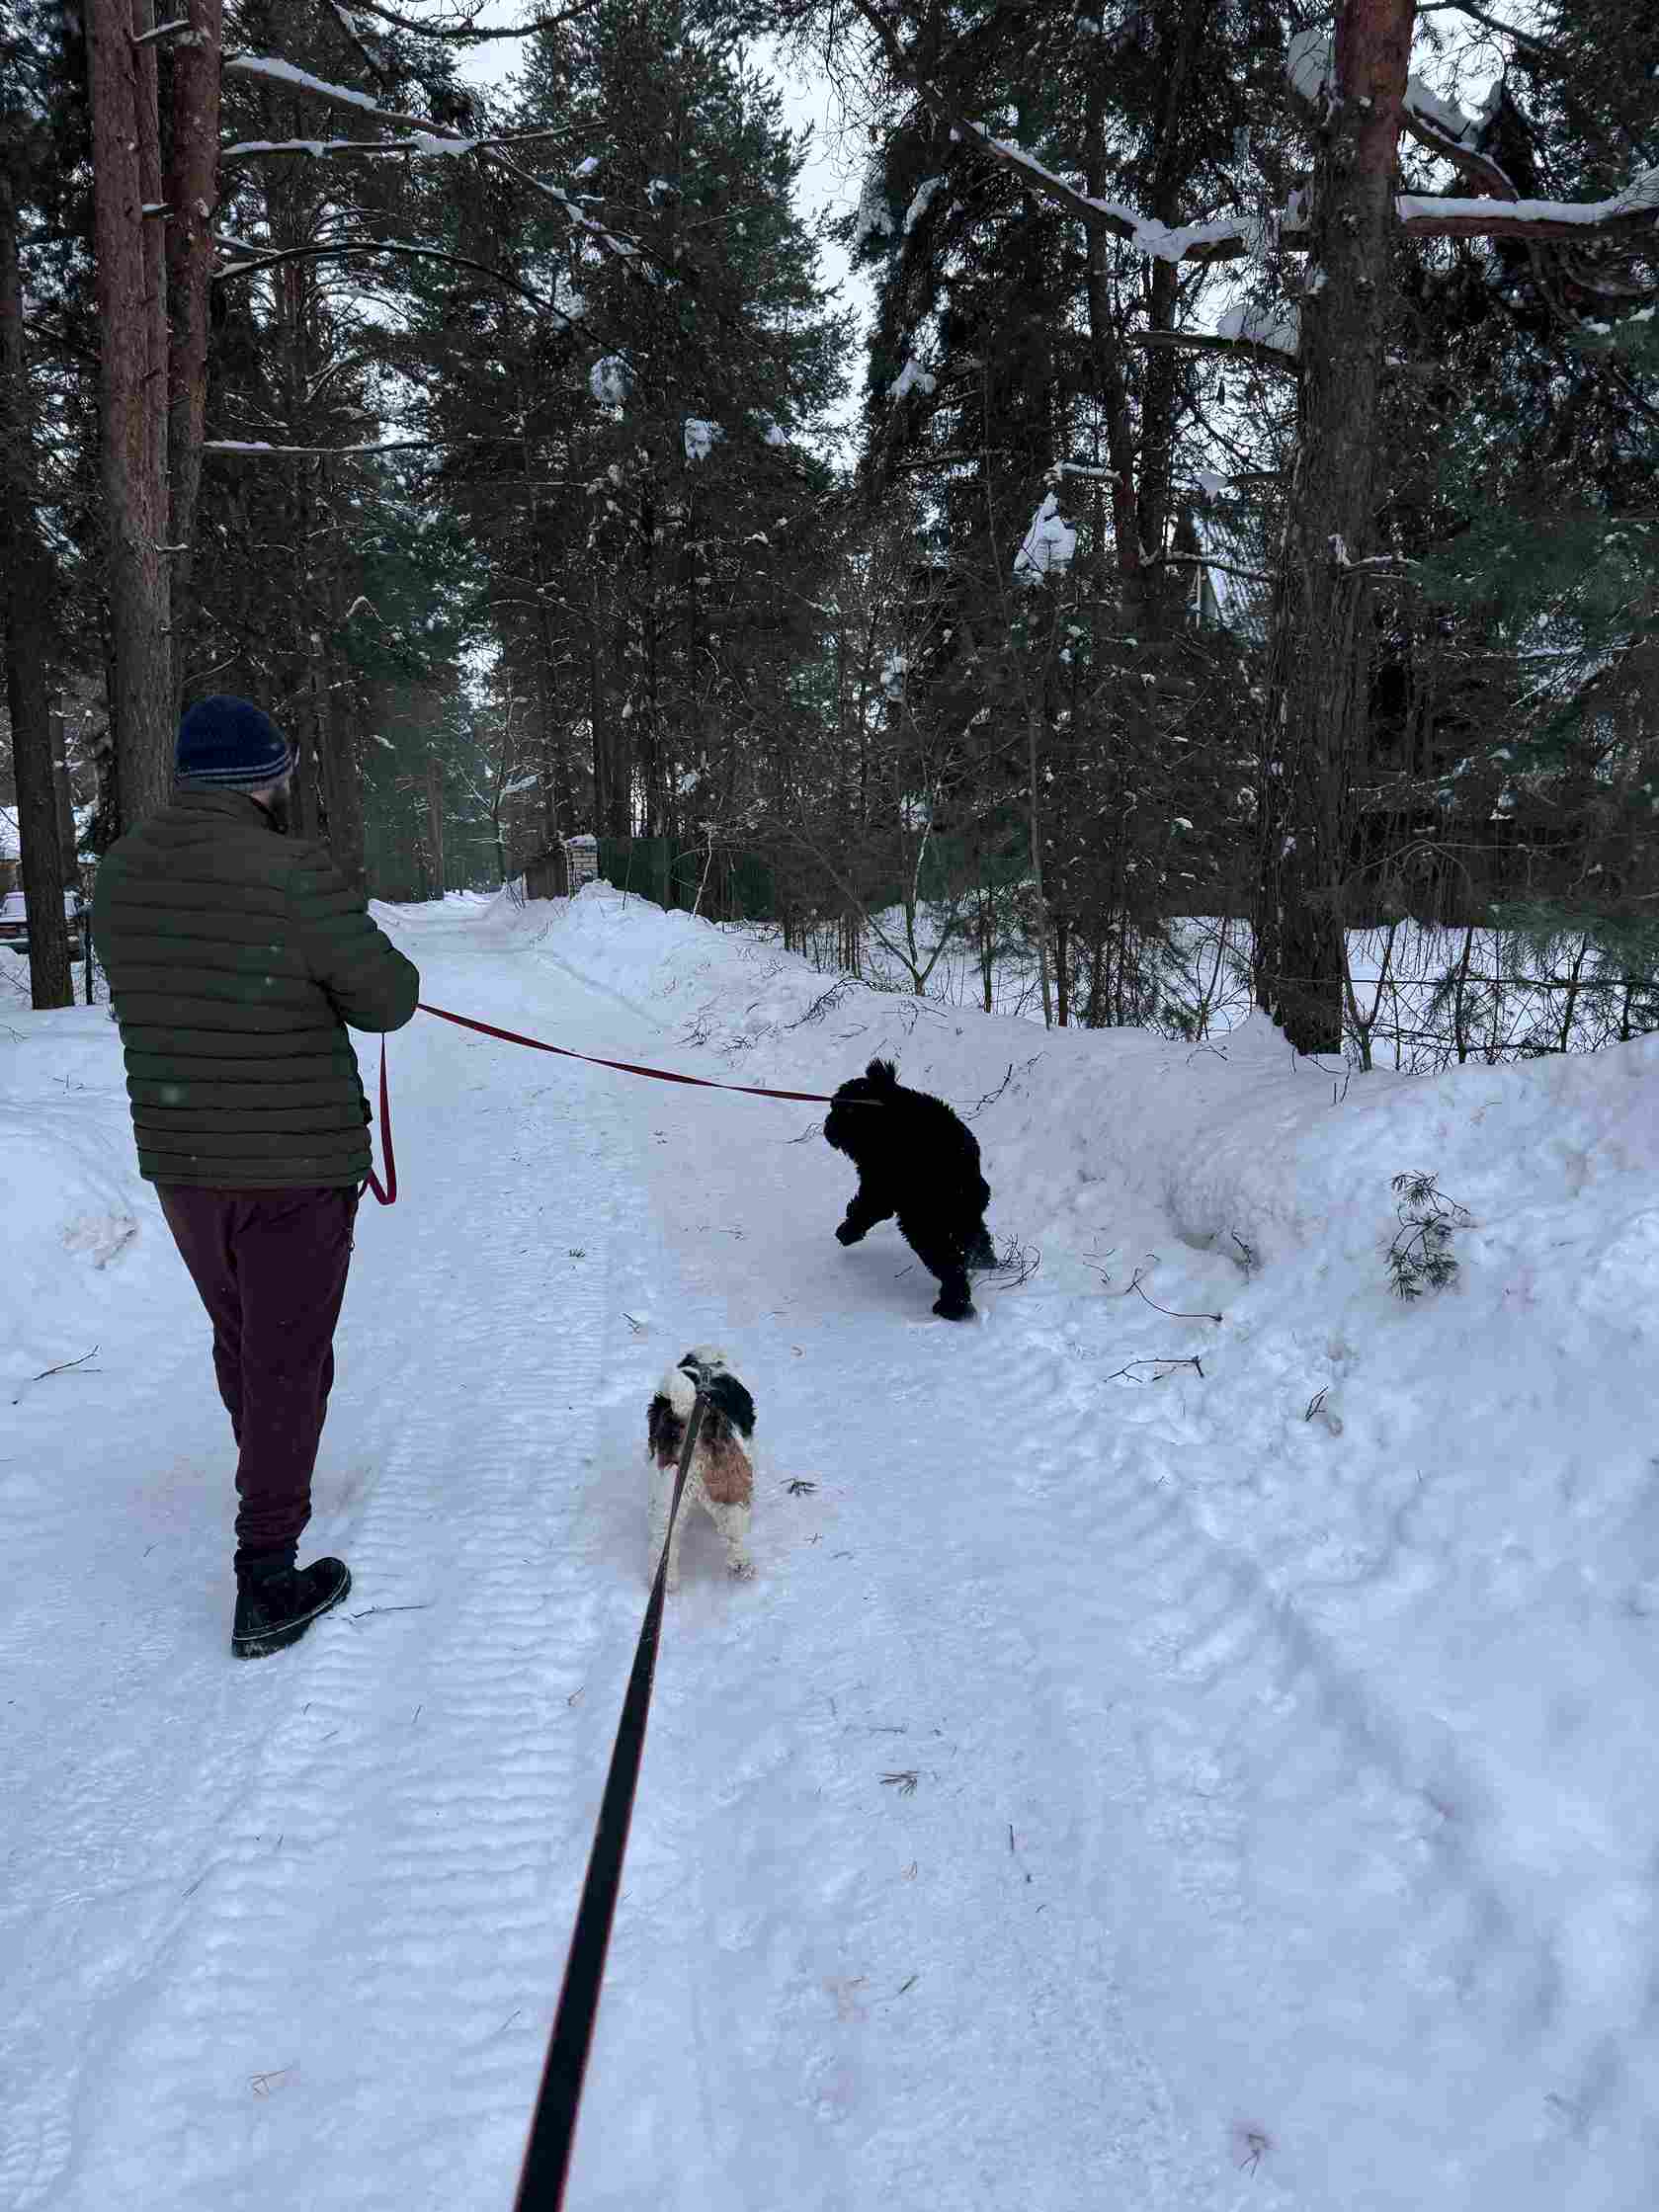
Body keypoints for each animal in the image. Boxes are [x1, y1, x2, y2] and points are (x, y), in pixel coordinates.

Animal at [646, 1347, 756, 1590]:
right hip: (728, 1483)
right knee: (732, 1530)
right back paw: (741, 1565)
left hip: (675, 1492)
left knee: (665, 1539)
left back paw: (667, 1581)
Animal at [824, 1058, 996, 1320]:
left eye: (838, 1109)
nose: (827, 1128)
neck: (882, 1110)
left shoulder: (880, 1184)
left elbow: (865, 1208)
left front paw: (847, 1231)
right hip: (965, 1215)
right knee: (975, 1240)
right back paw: (986, 1263)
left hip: (925, 1226)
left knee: (951, 1266)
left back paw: (952, 1306)